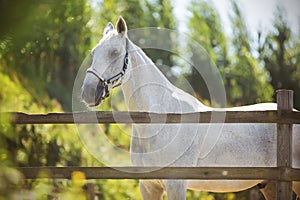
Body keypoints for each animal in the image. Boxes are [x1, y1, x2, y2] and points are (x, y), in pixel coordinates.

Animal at [82, 16, 300, 198]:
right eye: (93, 52)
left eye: (115, 52)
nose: (87, 92)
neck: (159, 121)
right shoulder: (149, 186)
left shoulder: (176, 184)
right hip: (271, 184)